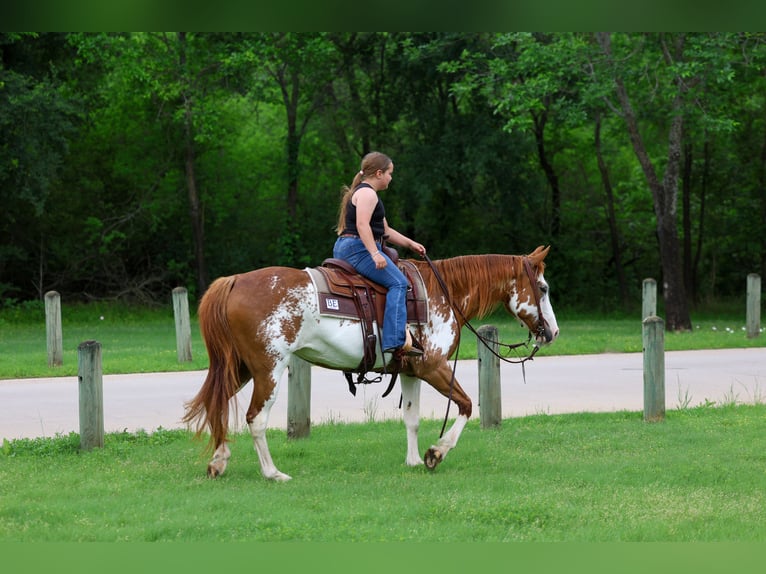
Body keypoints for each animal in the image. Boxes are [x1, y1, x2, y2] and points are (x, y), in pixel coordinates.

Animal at [182, 245, 559, 481]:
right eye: (542, 287)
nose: (552, 332)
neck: (444, 292)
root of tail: (234, 281)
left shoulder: (411, 371)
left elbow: (411, 418)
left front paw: (412, 460)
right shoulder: (433, 366)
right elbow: (466, 406)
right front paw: (435, 453)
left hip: (240, 368)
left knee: (218, 405)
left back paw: (219, 462)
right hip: (268, 369)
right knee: (255, 419)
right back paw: (273, 473)